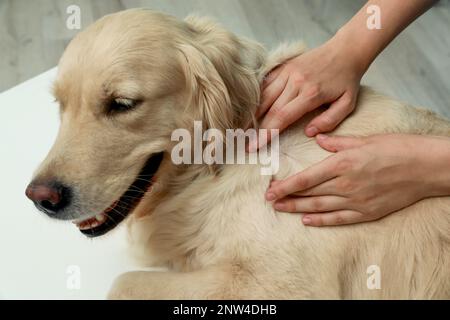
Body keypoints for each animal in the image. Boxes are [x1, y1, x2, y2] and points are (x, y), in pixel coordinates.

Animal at [25, 10, 450, 300]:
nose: (40, 198)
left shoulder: (280, 284)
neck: (224, 158)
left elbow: (122, 283)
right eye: (60, 104)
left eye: (122, 104)